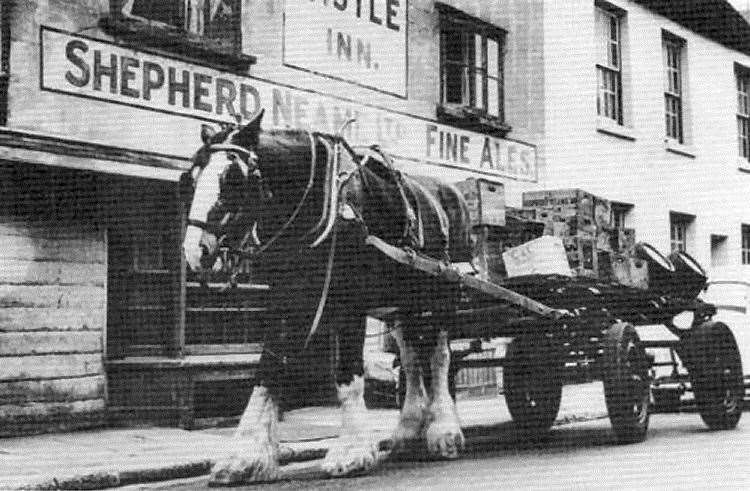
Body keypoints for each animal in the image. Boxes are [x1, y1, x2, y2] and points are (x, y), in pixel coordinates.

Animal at [181, 111, 472, 484]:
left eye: (233, 178)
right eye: (191, 177)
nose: (195, 252)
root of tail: (452, 192)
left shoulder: (351, 303)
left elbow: (348, 376)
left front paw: (352, 451)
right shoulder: (285, 299)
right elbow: (267, 371)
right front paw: (245, 456)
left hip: (441, 297)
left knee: (438, 358)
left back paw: (444, 431)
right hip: (401, 306)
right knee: (410, 359)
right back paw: (406, 433)